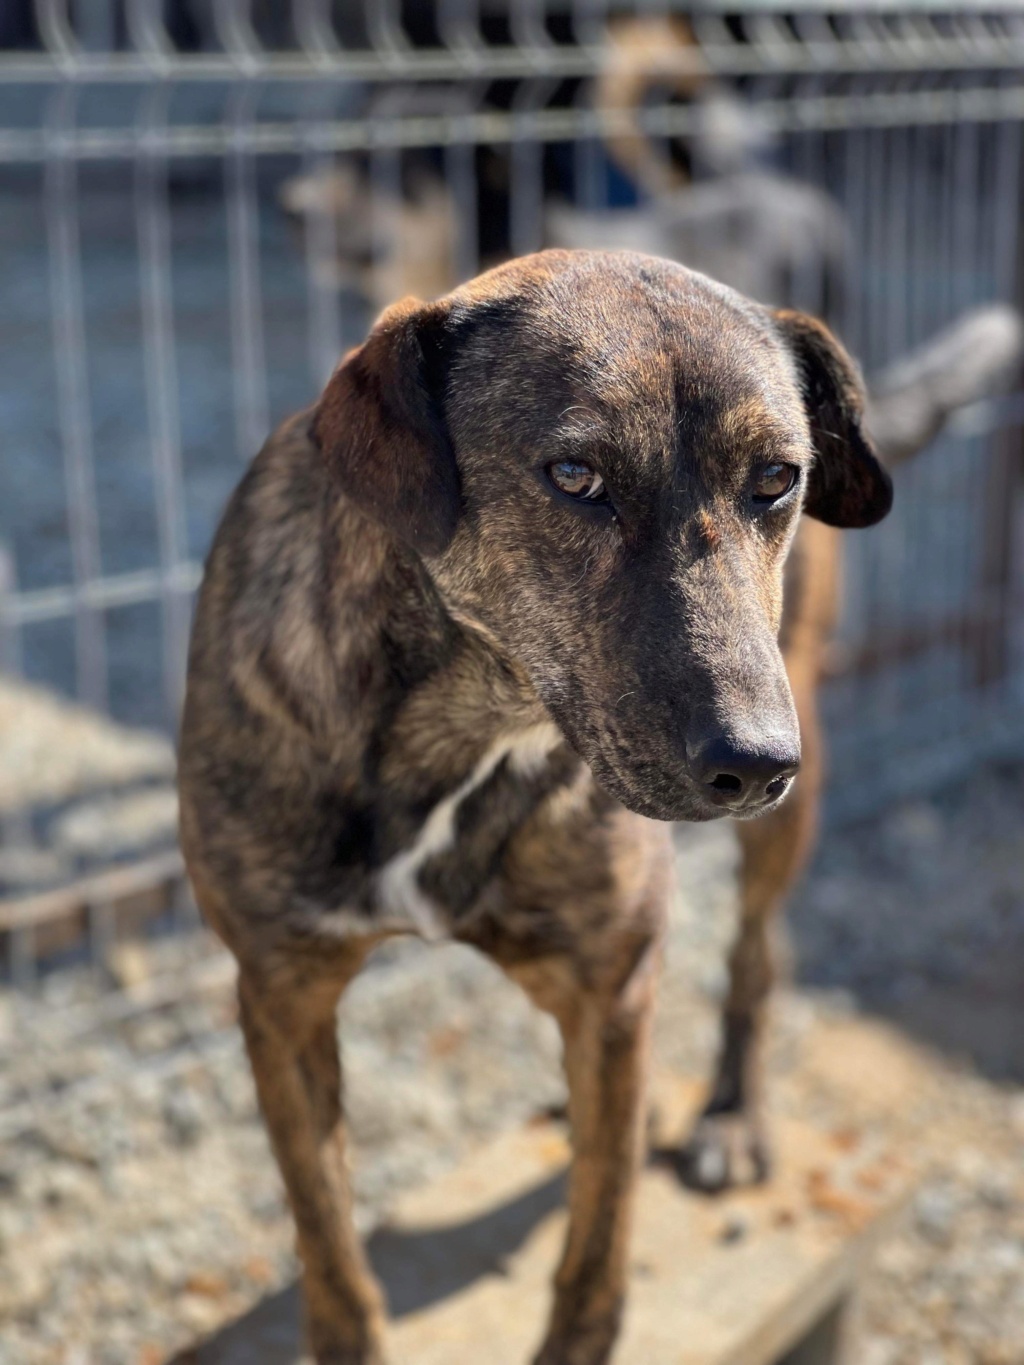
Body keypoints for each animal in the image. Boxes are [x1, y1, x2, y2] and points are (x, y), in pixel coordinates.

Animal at [180, 248, 895, 1365]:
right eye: (575, 477)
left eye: (777, 480)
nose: (753, 762)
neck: (466, 724)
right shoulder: (281, 991)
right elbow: (328, 1245)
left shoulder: (610, 975)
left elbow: (598, 1251)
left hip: (794, 770)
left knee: (754, 955)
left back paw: (729, 1116)